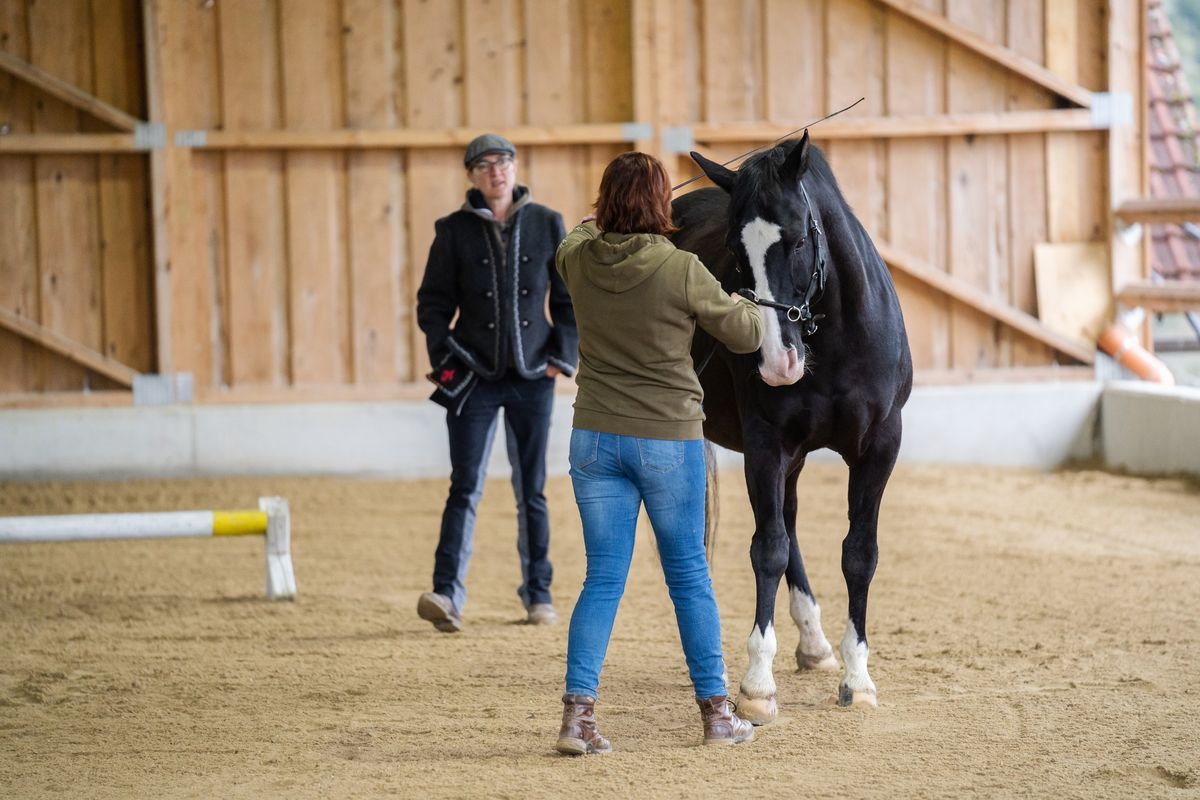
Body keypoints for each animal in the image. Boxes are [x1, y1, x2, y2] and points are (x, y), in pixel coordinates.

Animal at [676, 131, 907, 719]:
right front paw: (757, 684)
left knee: (793, 521)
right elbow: (768, 550)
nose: (777, 362)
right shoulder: (766, 445)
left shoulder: (880, 448)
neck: (836, 339)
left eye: (800, 241)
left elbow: (859, 554)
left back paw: (815, 643)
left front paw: (857, 677)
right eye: (736, 252)